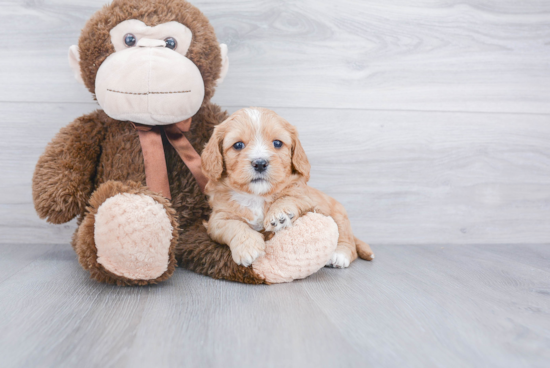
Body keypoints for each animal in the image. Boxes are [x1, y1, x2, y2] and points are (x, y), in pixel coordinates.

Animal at [203, 106, 376, 268]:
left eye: (277, 143)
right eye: (238, 145)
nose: (260, 163)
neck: (257, 196)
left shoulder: (307, 198)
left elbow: (290, 197)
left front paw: (280, 214)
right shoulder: (217, 218)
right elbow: (233, 225)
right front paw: (247, 247)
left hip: (339, 214)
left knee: (348, 242)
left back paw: (340, 255)